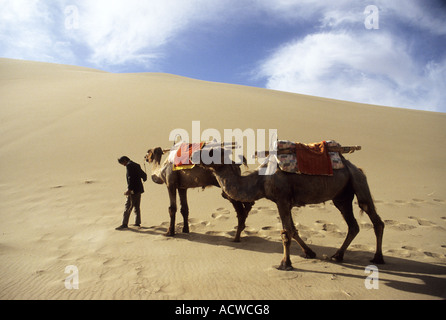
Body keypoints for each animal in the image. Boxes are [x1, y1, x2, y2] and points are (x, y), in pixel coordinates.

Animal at [193, 148, 386, 270]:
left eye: (211, 152)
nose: (193, 154)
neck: (261, 180)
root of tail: (356, 168)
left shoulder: (282, 200)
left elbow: (286, 232)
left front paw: (285, 264)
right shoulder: (285, 202)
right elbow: (293, 230)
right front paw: (309, 253)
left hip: (358, 182)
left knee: (374, 217)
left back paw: (378, 258)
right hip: (342, 197)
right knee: (353, 225)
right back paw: (337, 255)